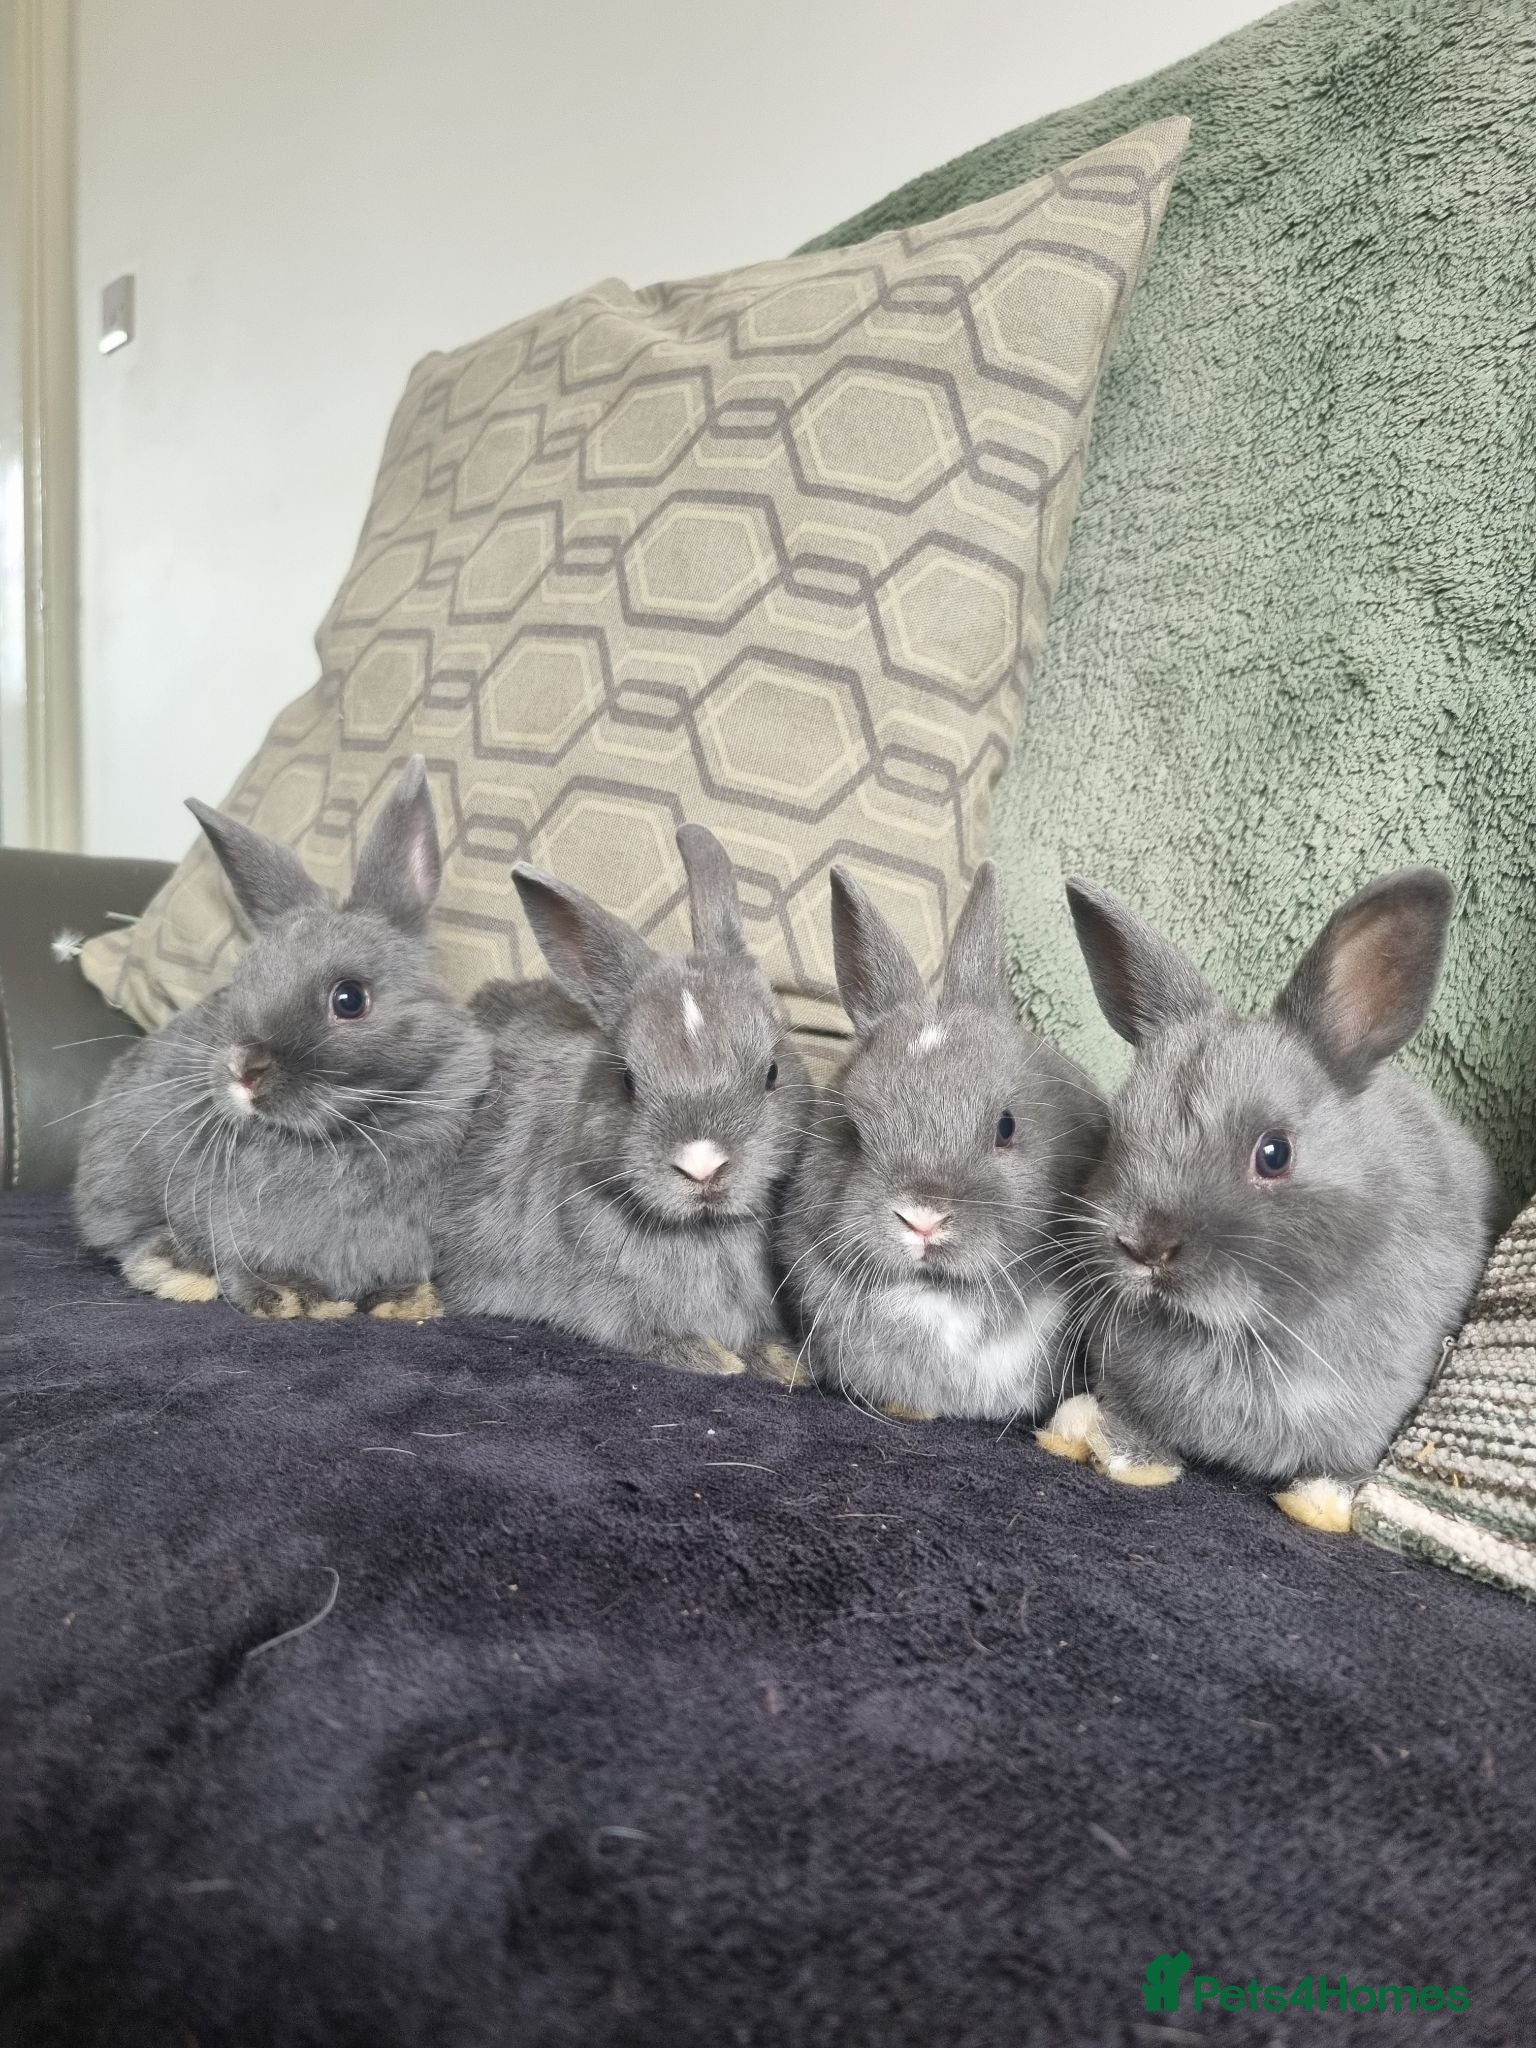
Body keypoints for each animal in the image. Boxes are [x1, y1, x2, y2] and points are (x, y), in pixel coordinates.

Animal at [73, 757, 491, 1320]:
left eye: (350, 999)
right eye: (240, 983)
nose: (243, 1069)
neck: (349, 1138)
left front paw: (406, 1302)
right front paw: (295, 1299)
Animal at [434, 824, 812, 1377]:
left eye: (772, 1072)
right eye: (627, 1081)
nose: (702, 1166)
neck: (703, 1231)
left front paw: (783, 1361)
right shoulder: (597, 1299)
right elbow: (638, 1332)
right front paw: (711, 1358)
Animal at [1036, 868, 1498, 1531]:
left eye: (1274, 1153)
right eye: (1116, 1132)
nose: (1143, 1246)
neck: (1234, 1332)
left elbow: (1342, 1468)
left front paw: (1323, 1503)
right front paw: (1122, 1454)